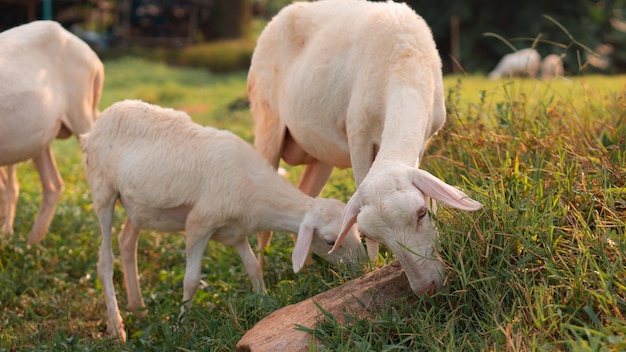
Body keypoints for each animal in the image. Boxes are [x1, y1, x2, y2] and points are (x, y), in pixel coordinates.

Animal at [80, 99, 364, 340]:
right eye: (329, 241)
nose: (363, 268)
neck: (255, 191)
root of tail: (102, 118)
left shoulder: (236, 230)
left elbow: (253, 266)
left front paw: (265, 303)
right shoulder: (199, 223)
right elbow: (191, 280)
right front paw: (181, 325)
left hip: (138, 207)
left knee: (127, 241)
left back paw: (137, 306)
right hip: (103, 191)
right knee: (105, 260)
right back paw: (116, 327)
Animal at [246, 0, 480, 296]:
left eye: (421, 213)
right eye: (367, 234)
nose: (427, 288)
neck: (403, 60)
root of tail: (276, 18)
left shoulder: (424, 138)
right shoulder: (357, 135)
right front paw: (373, 265)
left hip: (320, 153)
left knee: (305, 192)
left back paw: (307, 265)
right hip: (266, 123)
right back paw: (263, 282)